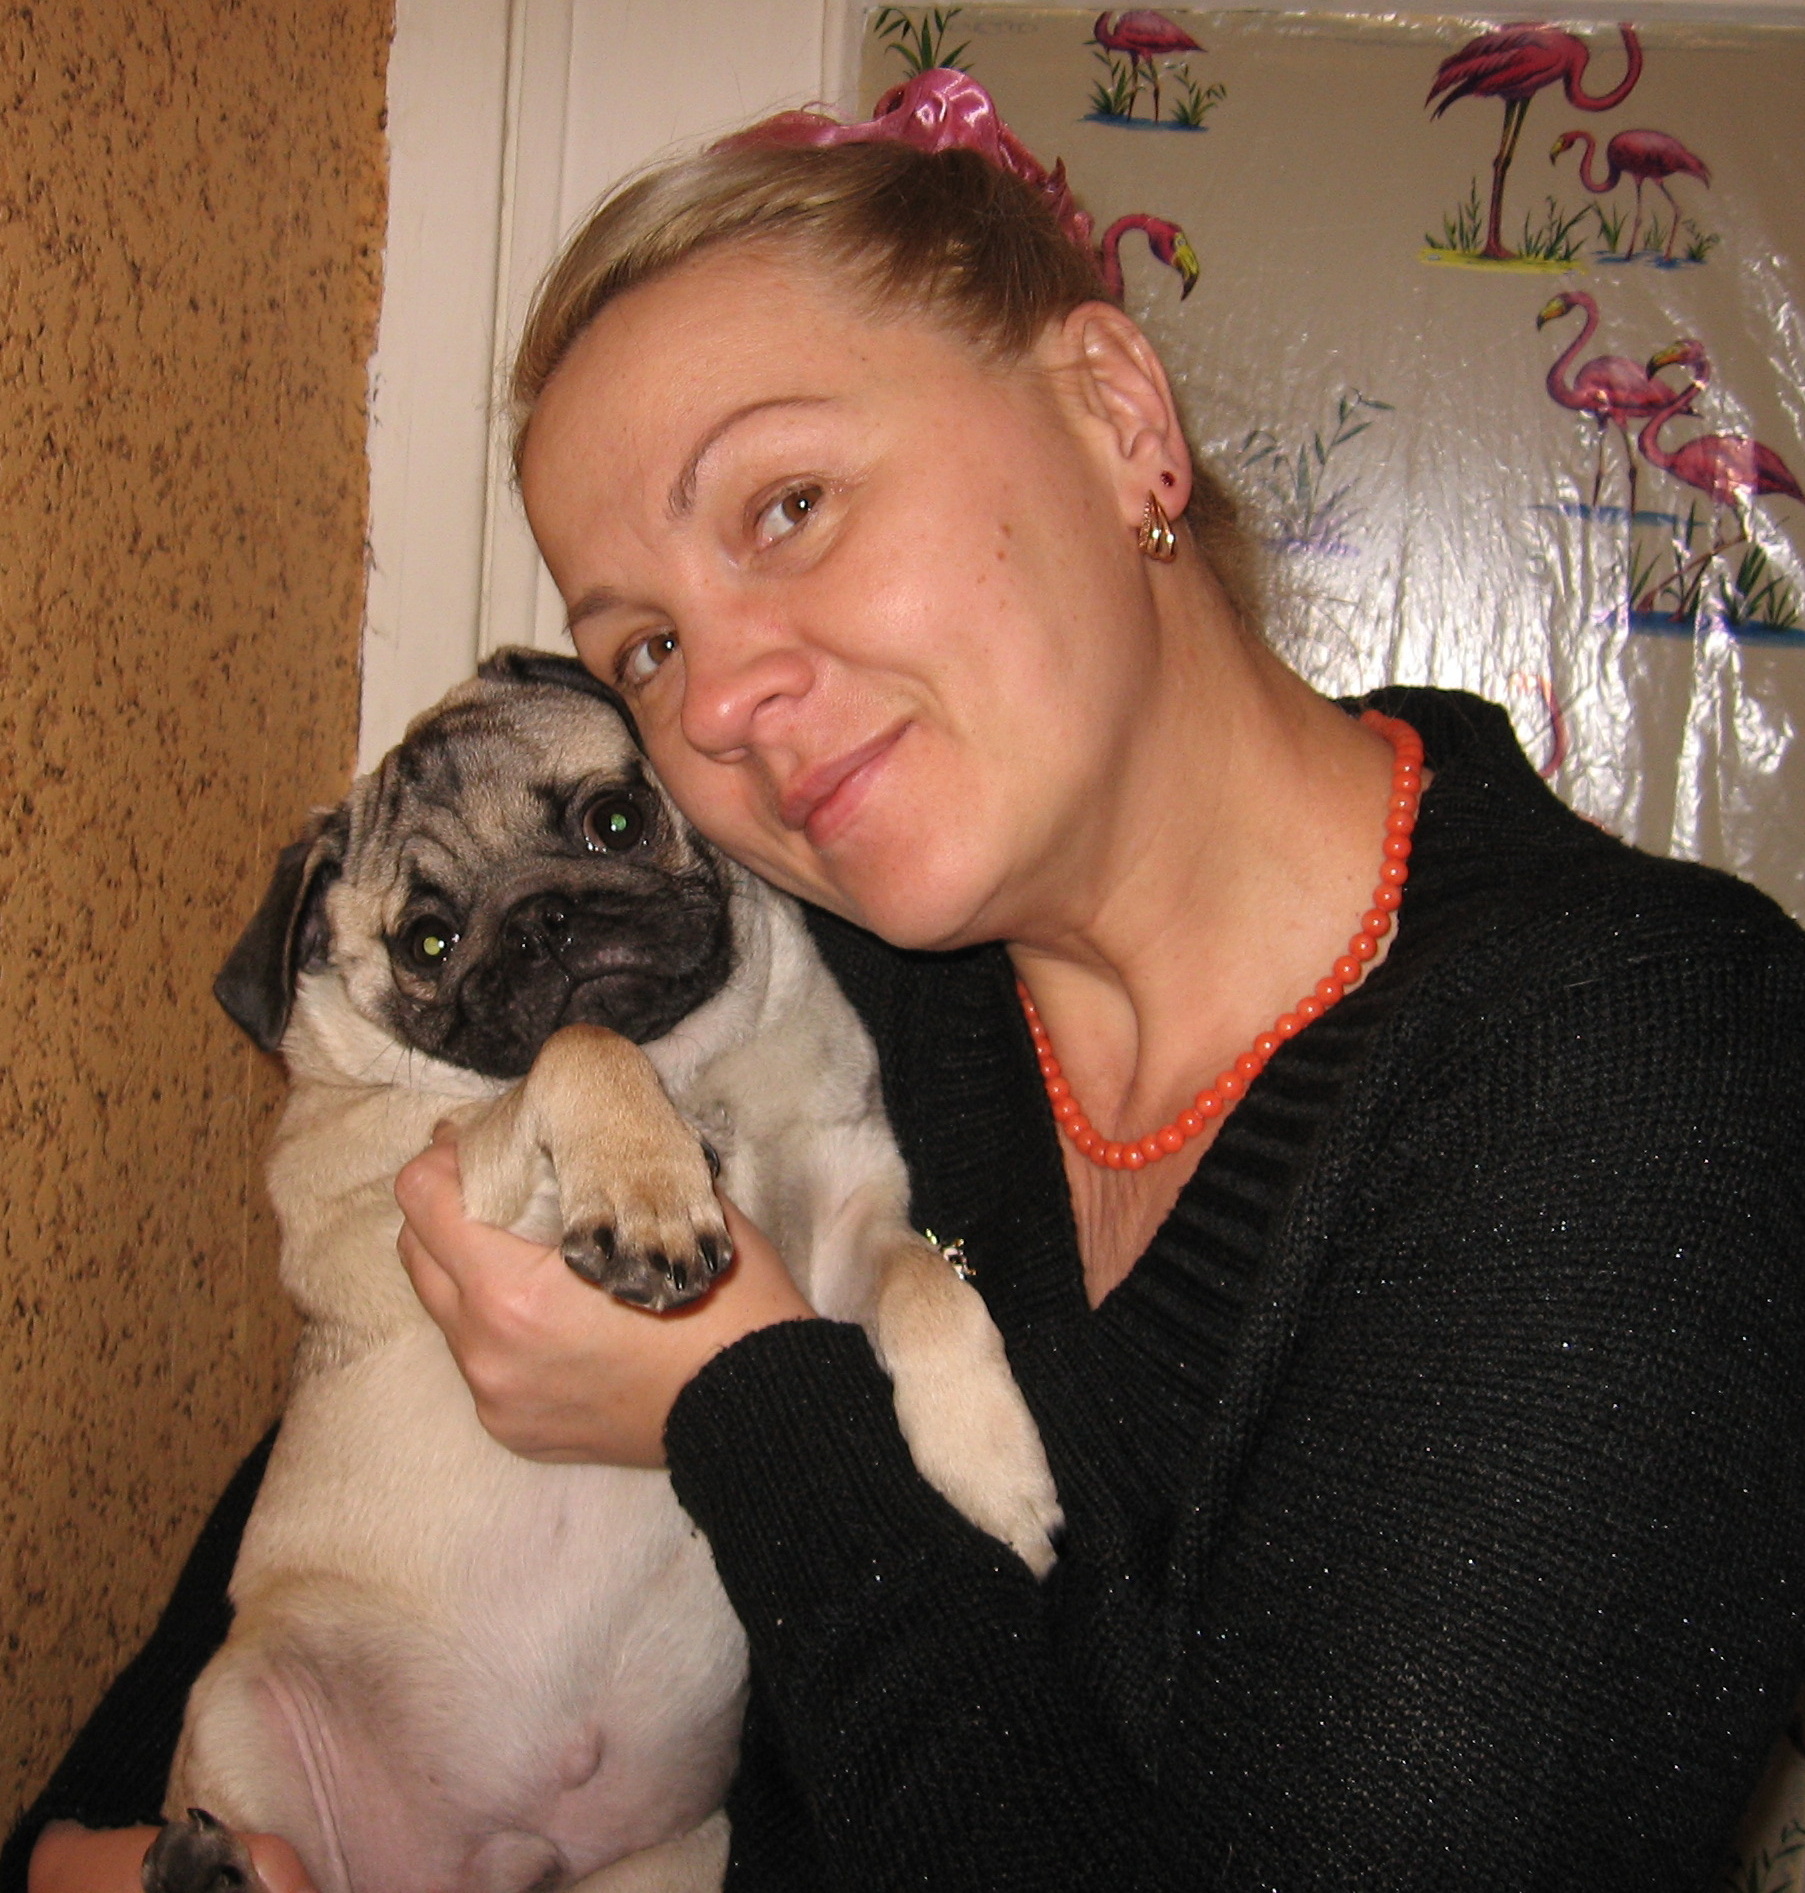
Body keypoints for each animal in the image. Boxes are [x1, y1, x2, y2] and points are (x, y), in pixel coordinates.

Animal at [147, 648, 1061, 1893]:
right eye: (427, 942)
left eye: (614, 822)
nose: (541, 921)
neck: (696, 1067)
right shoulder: (453, 1177)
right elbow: (581, 1048)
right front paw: (646, 1189)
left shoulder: (846, 1236)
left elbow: (928, 1289)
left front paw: (988, 1466)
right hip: (238, 1699)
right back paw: (203, 1862)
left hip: (677, 1856)